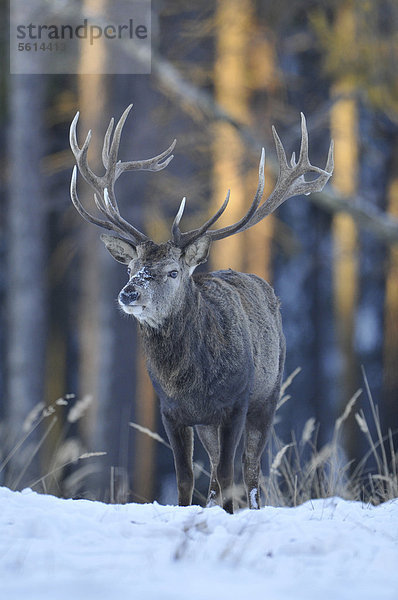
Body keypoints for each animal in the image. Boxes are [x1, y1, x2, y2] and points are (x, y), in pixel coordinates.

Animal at [69, 105, 332, 512]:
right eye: (131, 268)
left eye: (173, 271)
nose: (129, 293)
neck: (189, 382)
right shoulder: (171, 413)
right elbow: (185, 478)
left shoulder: (236, 403)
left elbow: (228, 473)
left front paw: (228, 513)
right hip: (208, 422)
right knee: (214, 471)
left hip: (268, 394)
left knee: (250, 470)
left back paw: (251, 505)